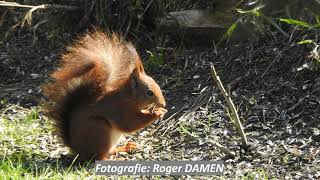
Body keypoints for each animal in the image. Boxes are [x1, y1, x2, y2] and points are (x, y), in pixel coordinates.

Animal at [43, 30, 168, 160]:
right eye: (149, 92)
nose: (163, 104)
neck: (129, 97)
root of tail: (77, 150)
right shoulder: (120, 108)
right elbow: (130, 123)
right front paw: (158, 113)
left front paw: (160, 110)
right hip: (100, 131)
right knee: (99, 156)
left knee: (109, 151)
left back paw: (125, 147)